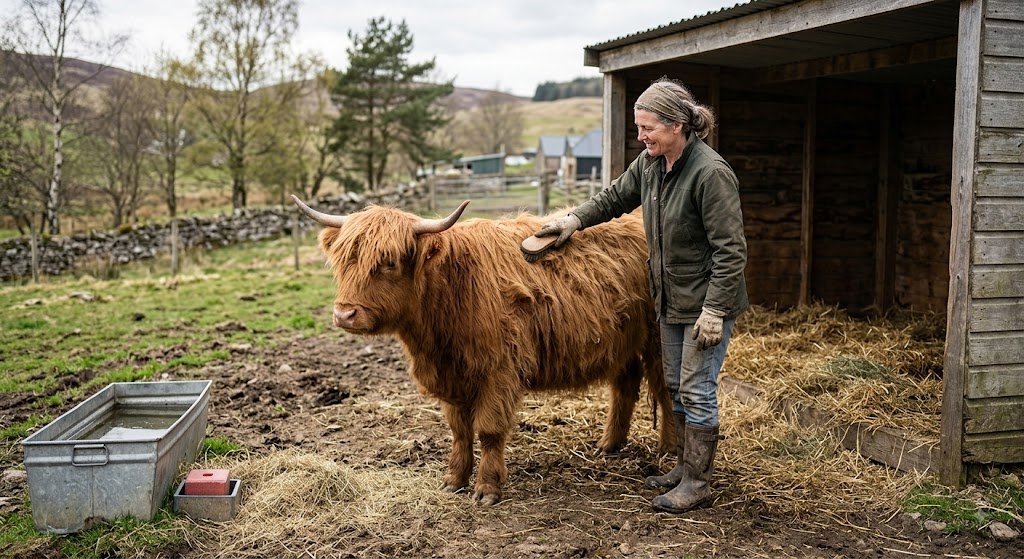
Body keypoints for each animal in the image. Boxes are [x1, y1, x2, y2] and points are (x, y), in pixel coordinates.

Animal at [292, 195, 673, 505]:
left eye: (388, 262)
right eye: (344, 260)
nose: (344, 314)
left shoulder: (499, 370)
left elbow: (488, 430)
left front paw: (487, 488)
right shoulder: (452, 374)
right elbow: (460, 431)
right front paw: (454, 479)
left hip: (658, 341)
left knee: (665, 390)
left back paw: (668, 449)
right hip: (624, 340)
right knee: (625, 386)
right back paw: (610, 444)